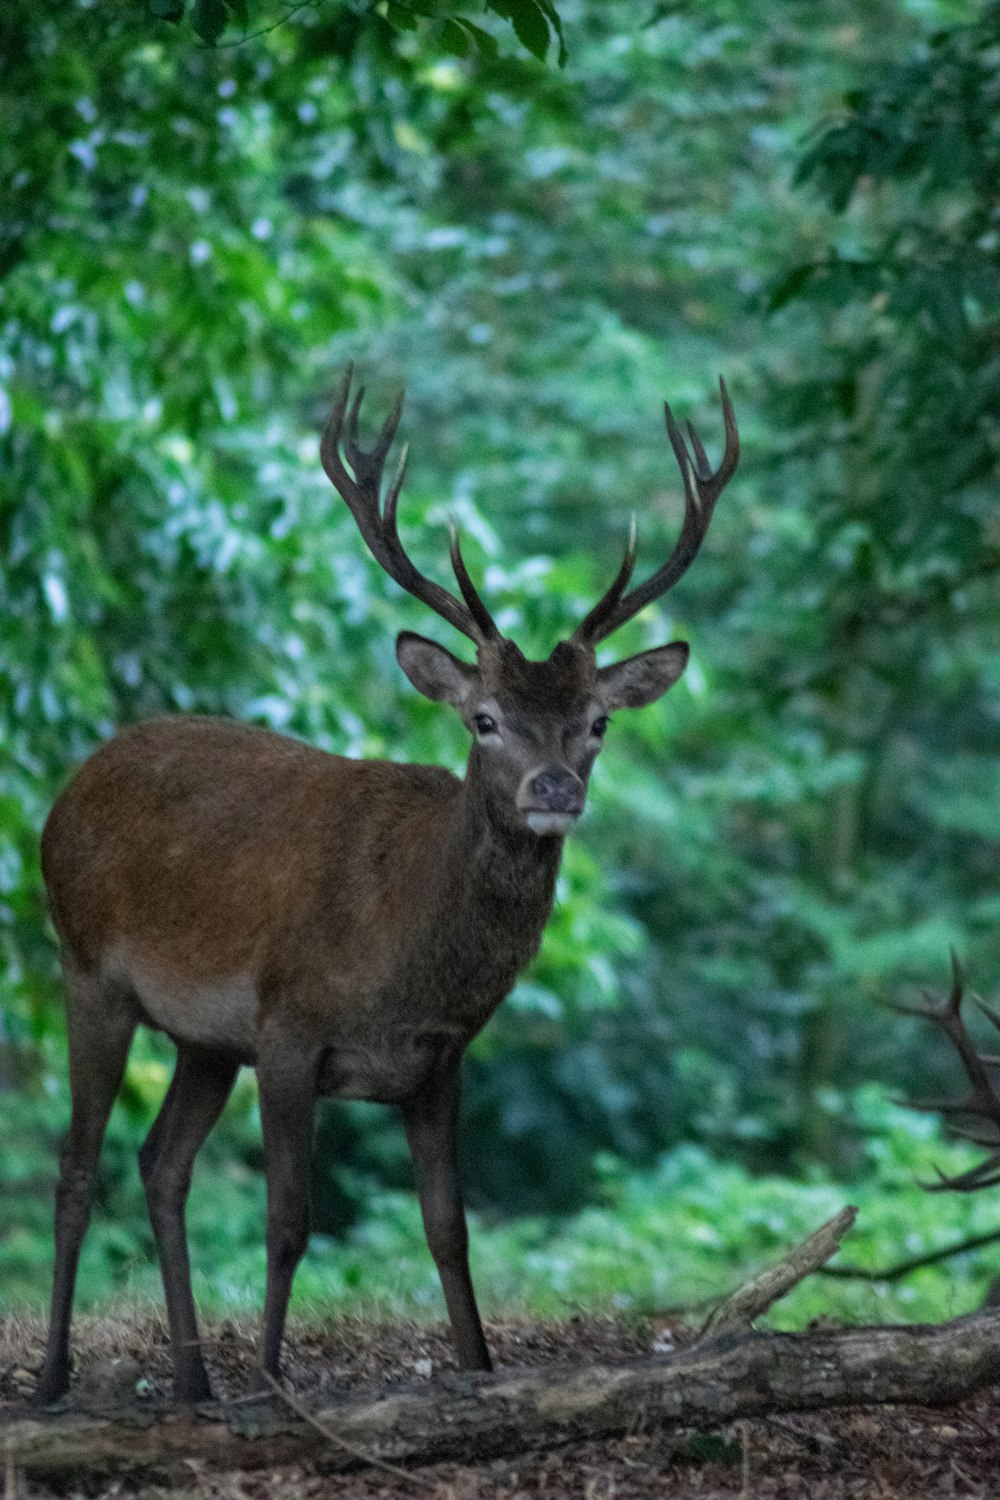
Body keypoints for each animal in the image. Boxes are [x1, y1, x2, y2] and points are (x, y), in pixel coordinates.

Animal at [37, 366, 734, 1404]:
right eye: (485, 719)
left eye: (598, 723)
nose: (554, 789)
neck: (401, 957)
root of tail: (65, 792)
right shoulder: (289, 1029)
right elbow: (290, 1221)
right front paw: (273, 1385)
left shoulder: (438, 1061)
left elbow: (450, 1230)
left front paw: (480, 1370)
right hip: (89, 970)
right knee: (78, 1167)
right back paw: (54, 1379)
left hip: (204, 1037)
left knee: (161, 1164)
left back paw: (194, 1382)